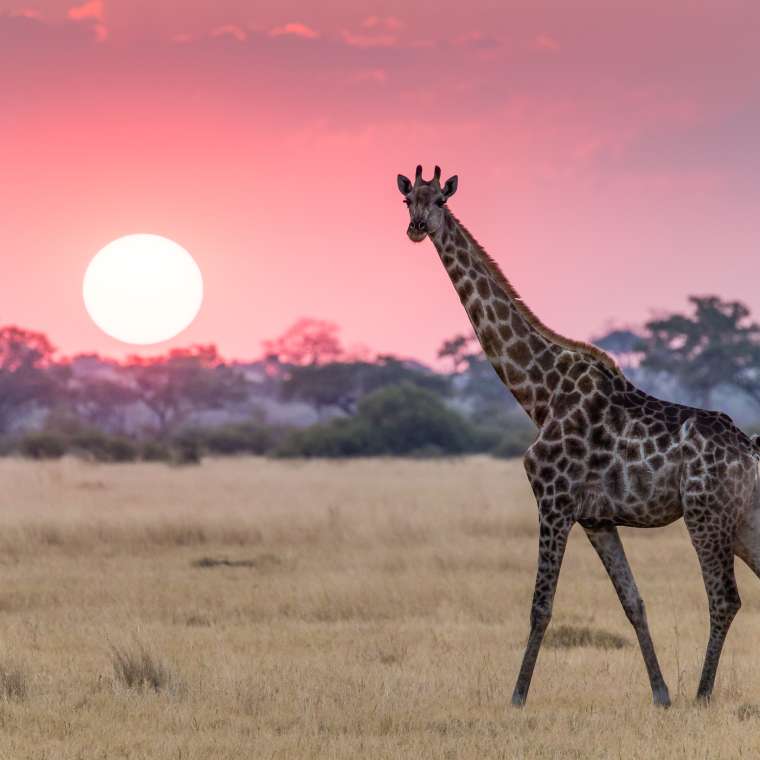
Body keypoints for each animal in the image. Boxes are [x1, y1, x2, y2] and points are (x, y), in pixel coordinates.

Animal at [396, 164, 760, 706]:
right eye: (408, 201)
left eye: (440, 199)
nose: (417, 228)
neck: (538, 393)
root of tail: (751, 451)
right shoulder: (597, 519)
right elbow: (634, 602)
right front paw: (660, 694)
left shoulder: (553, 500)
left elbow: (540, 606)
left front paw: (517, 697)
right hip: (742, 518)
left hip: (706, 514)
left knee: (724, 599)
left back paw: (702, 695)